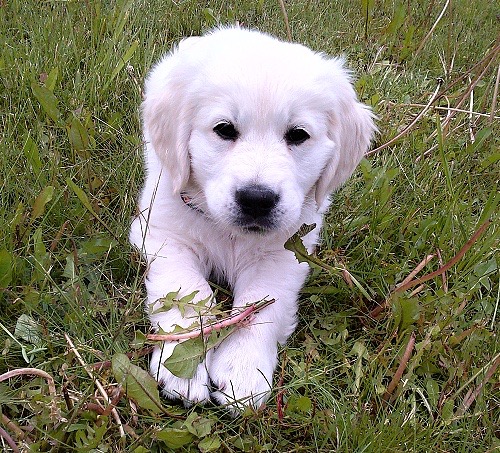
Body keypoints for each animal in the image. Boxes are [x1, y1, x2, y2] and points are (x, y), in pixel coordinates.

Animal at [130, 26, 376, 413]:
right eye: (224, 129)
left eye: (298, 135)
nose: (257, 200)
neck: (230, 234)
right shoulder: (162, 231)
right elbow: (188, 290)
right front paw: (182, 368)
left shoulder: (286, 252)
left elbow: (260, 305)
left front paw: (243, 370)